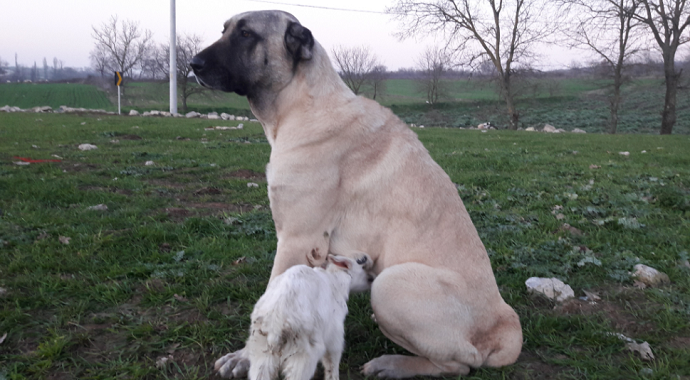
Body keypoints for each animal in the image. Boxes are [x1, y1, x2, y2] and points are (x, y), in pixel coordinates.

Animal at [189, 10, 520, 378]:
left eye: (247, 34)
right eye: (225, 30)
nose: (193, 64)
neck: (302, 103)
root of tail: (504, 323)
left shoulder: (296, 240)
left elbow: (272, 299)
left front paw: (245, 356)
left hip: (391, 284)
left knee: (462, 362)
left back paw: (393, 364)